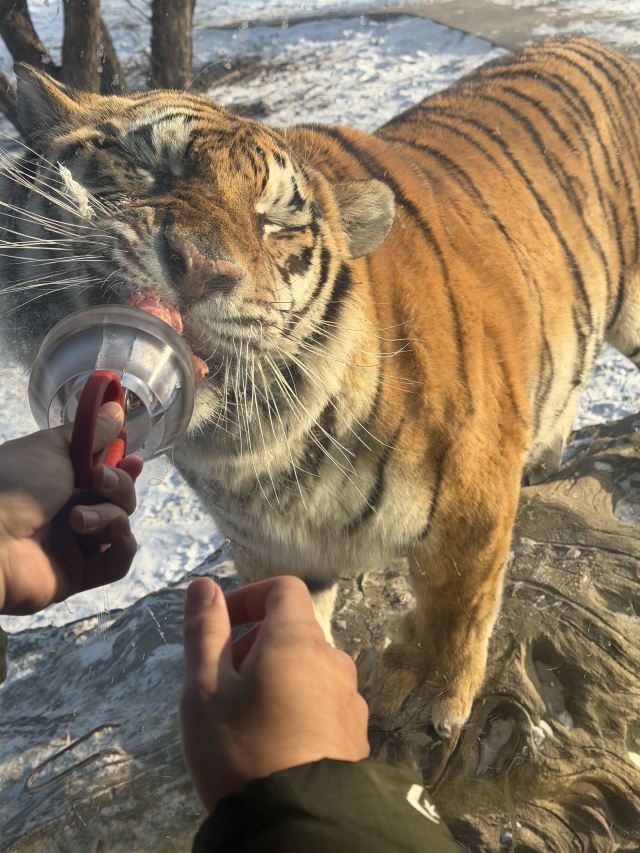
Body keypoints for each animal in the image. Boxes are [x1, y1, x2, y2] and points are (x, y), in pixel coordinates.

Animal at [2, 35, 639, 738]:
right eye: (147, 166)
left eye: (276, 224)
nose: (201, 267)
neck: (248, 446)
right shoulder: (265, 545)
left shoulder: (474, 480)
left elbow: (458, 589)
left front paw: (427, 688)